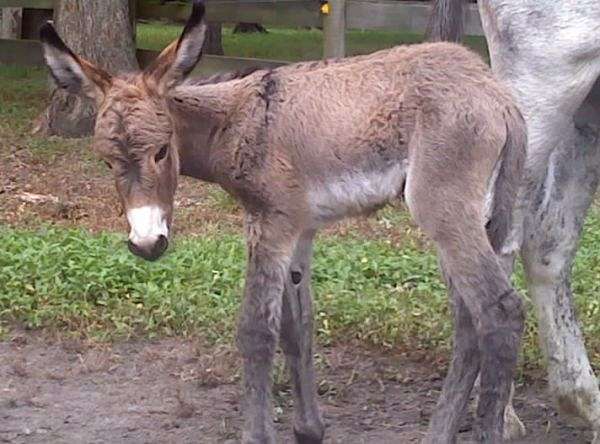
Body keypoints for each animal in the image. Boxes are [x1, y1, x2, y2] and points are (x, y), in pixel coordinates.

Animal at [42, 1, 528, 442]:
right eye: (106, 162)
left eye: (162, 151)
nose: (146, 243)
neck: (233, 122)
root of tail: (497, 94)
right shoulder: (301, 228)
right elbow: (298, 327)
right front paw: (308, 428)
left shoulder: (270, 222)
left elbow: (257, 330)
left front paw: (257, 435)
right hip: (472, 218)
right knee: (468, 322)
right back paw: (439, 433)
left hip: (443, 209)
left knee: (499, 311)